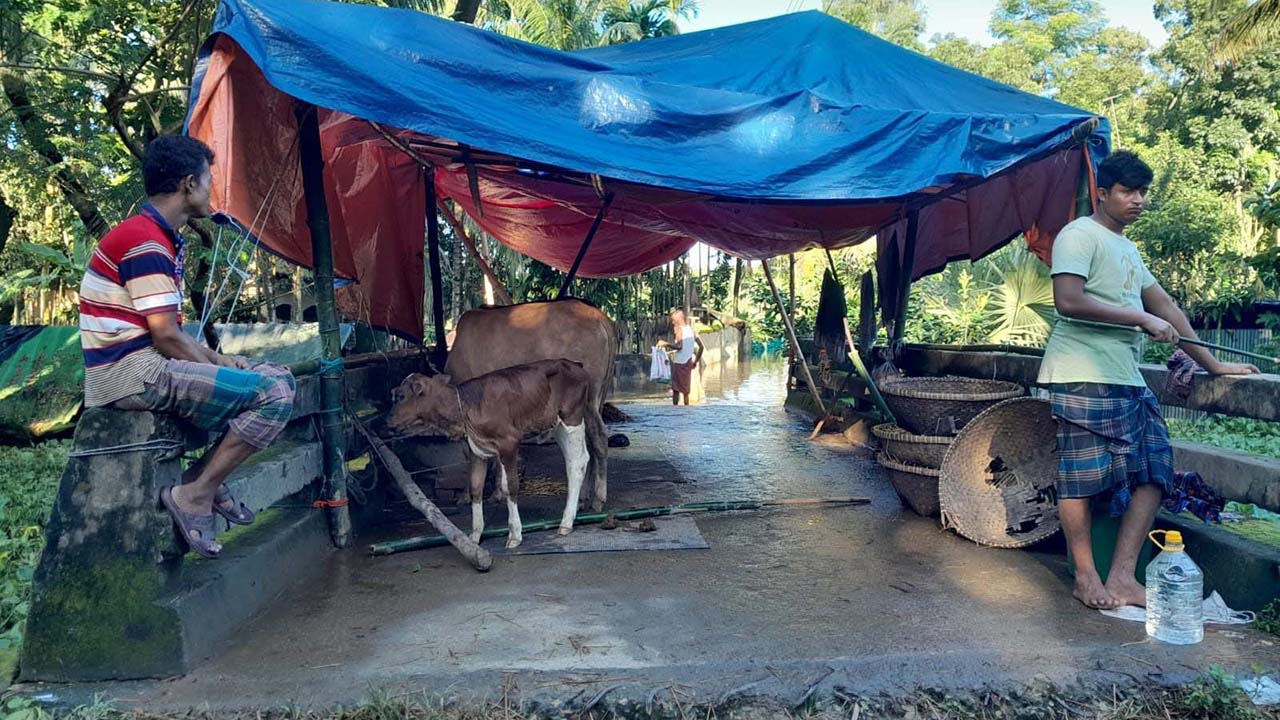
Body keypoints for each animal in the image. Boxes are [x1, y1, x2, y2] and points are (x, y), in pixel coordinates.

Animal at [384, 356, 593, 545]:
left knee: (577, 463)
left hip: (572, 418)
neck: (465, 407)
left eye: (400, 396)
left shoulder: (509, 442)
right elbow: (476, 487)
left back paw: (566, 523)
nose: (387, 422)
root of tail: (575, 364)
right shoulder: (476, 450)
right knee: (576, 461)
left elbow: (510, 486)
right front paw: (475, 536)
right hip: (557, 425)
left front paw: (514, 534)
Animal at [445, 297, 614, 509]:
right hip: (595, 398)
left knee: (598, 437)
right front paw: (497, 492)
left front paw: (470, 494)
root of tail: (599, 316)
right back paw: (583, 497)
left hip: (587, 398)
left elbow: (471, 452)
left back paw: (598, 499)